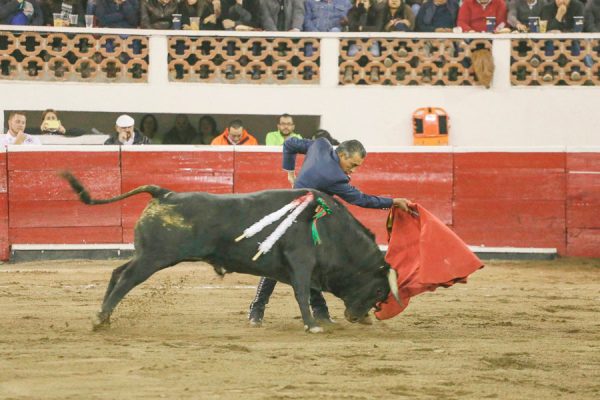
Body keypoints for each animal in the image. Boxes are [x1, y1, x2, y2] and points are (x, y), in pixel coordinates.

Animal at [61, 173, 400, 332]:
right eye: (379, 289)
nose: (360, 317)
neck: (329, 228)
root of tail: (165, 193)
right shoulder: (302, 263)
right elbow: (303, 294)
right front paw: (313, 325)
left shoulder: (299, 268)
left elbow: (307, 293)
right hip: (153, 258)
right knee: (127, 279)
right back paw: (100, 318)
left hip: (146, 255)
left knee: (117, 272)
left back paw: (104, 318)